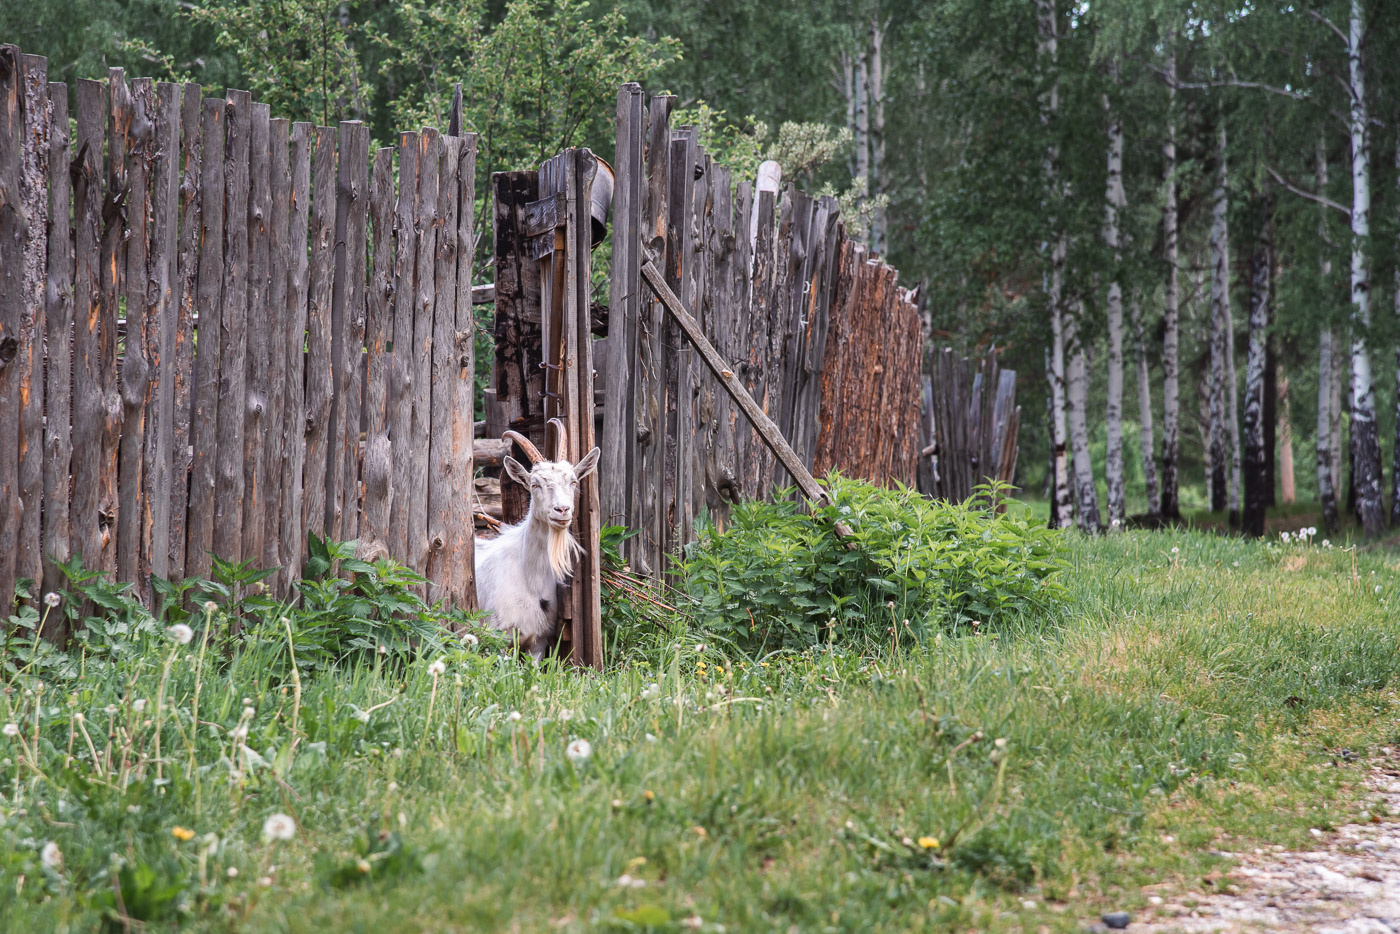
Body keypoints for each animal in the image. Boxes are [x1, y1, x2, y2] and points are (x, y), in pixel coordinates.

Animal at [474, 420, 600, 660]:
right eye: (534, 484)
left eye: (573, 481)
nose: (562, 510)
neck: (529, 579)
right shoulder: (496, 637)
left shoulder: (539, 641)